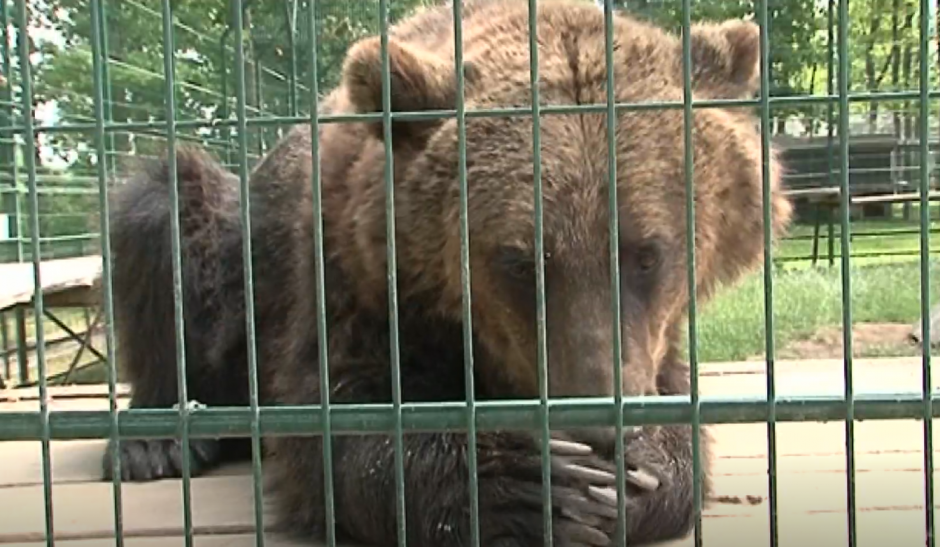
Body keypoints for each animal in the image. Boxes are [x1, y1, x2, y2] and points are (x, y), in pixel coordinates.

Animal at [101, 1, 792, 547]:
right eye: (521, 260)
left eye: (647, 253)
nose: (597, 425)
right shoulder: (351, 280)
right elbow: (341, 421)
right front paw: (531, 483)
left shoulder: (655, 331)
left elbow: (677, 407)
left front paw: (636, 472)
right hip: (237, 252)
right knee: (162, 210)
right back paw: (154, 438)